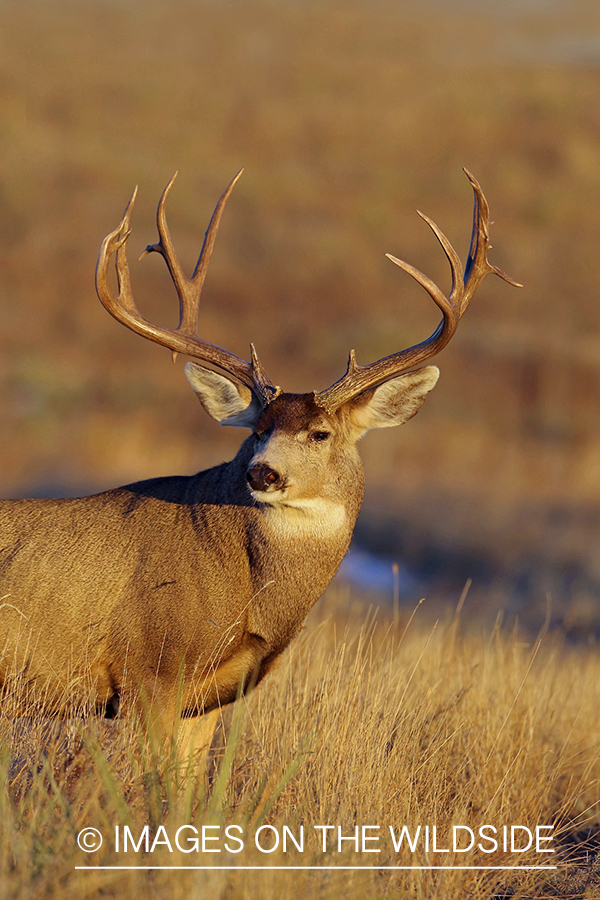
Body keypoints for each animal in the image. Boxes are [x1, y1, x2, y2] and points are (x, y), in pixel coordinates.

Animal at [0, 171, 516, 760]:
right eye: (258, 431)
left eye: (320, 433)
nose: (263, 473)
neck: (248, 590)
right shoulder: (149, 670)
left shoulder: (207, 699)